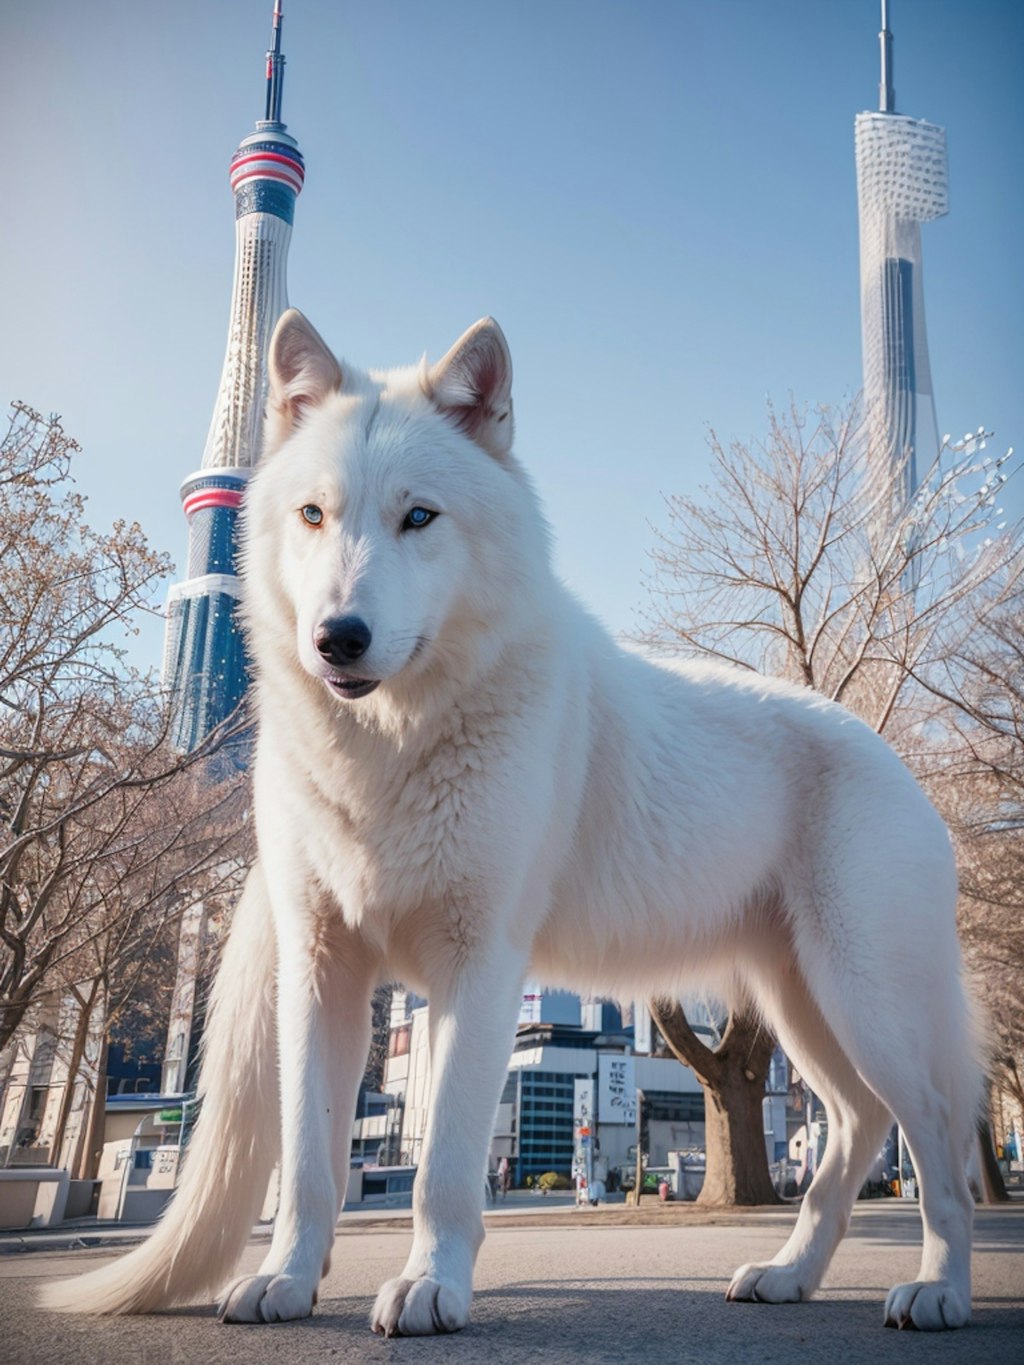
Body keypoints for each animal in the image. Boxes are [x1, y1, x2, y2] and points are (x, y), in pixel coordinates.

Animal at [44, 309, 983, 1332]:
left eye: (419, 517)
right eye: (314, 516)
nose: (337, 638)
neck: (389, 749)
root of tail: (898, 762)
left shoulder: (479, 967)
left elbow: (445, 1168)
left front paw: (428, 1287)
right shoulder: (323, 969)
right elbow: (309, 1166)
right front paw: (288, 1281)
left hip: (864, 1000)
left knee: (937, 1134)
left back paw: (938, 1287)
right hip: (804, 1007)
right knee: (860, 1125)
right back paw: (790, 1273)